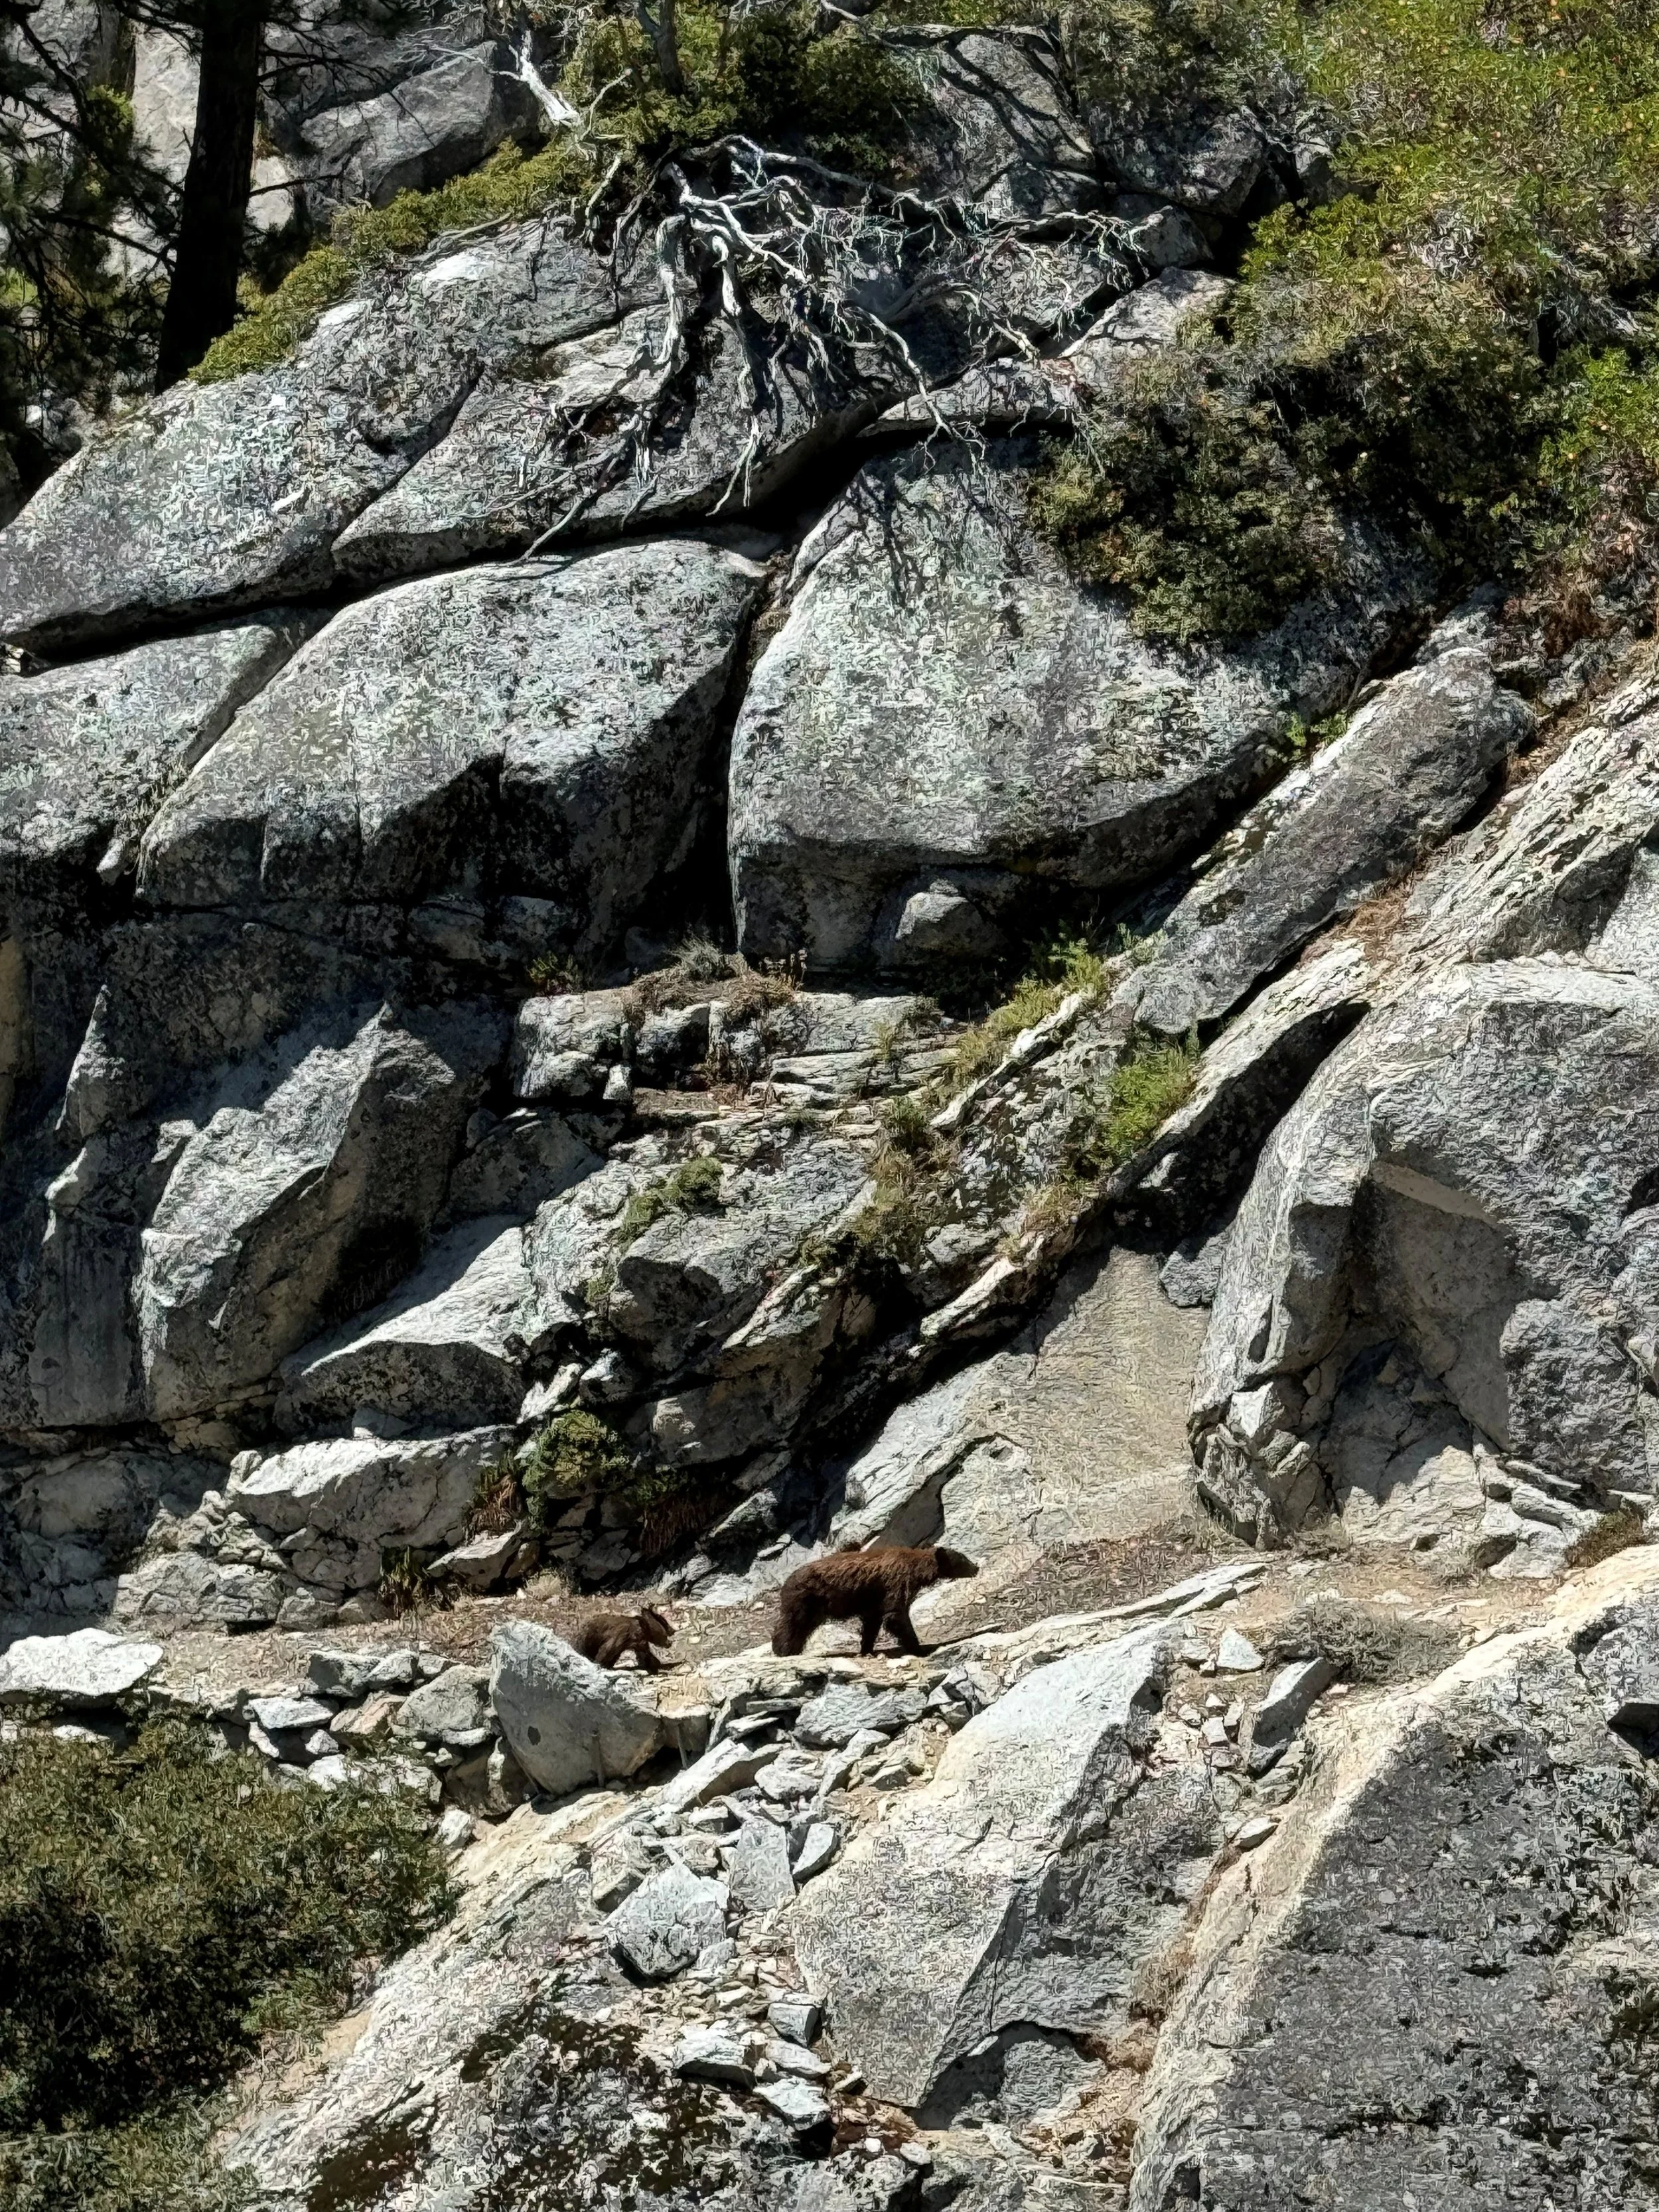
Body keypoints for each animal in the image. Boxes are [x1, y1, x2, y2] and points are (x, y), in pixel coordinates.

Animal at [771, 1544, 979, 1657]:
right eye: (963, 1559)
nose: (976, 1567)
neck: (916, 1568)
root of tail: (785, 1583)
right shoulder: (896, 1582)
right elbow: (895, 1615)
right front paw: (921, 1649)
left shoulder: (874, 1601)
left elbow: (873, 1622)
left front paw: (867, 1649)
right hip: (805, 1599)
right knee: (793, 1625)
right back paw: (783, 1651)